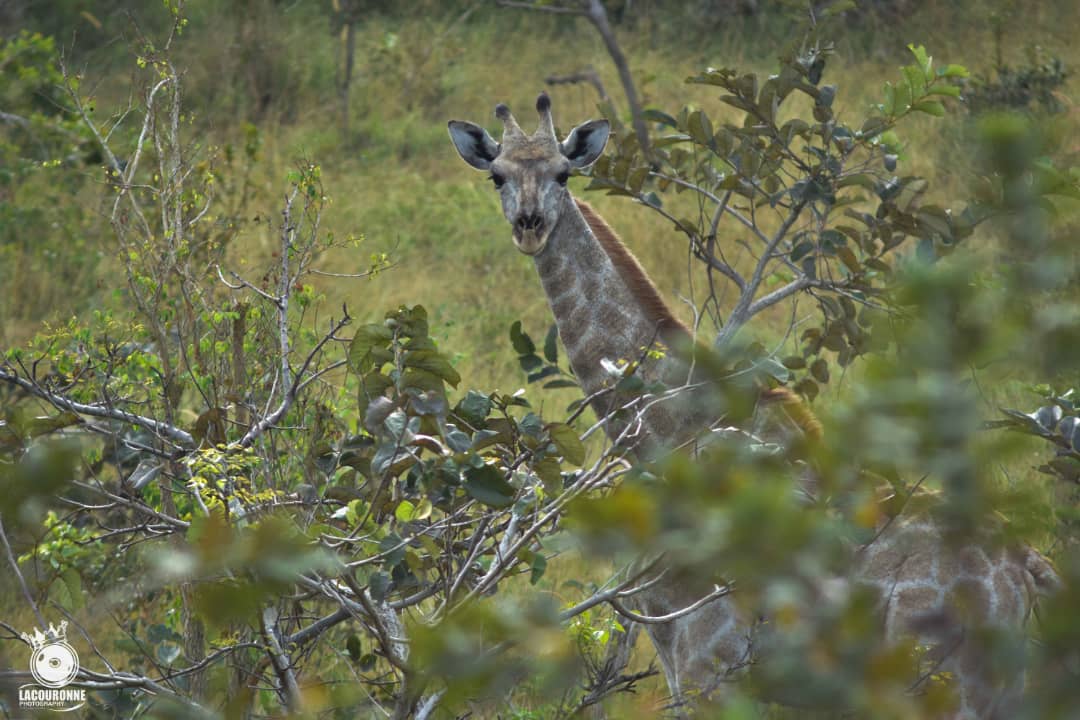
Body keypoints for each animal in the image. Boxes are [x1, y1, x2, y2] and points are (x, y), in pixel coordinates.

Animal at [448, 93, 1058, 718]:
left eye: (563, 174)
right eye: (498, 175)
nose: (529, 227)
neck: (670, 432)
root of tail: (1030, 570)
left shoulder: (710, 660)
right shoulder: (676, 657)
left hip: (944, 684)